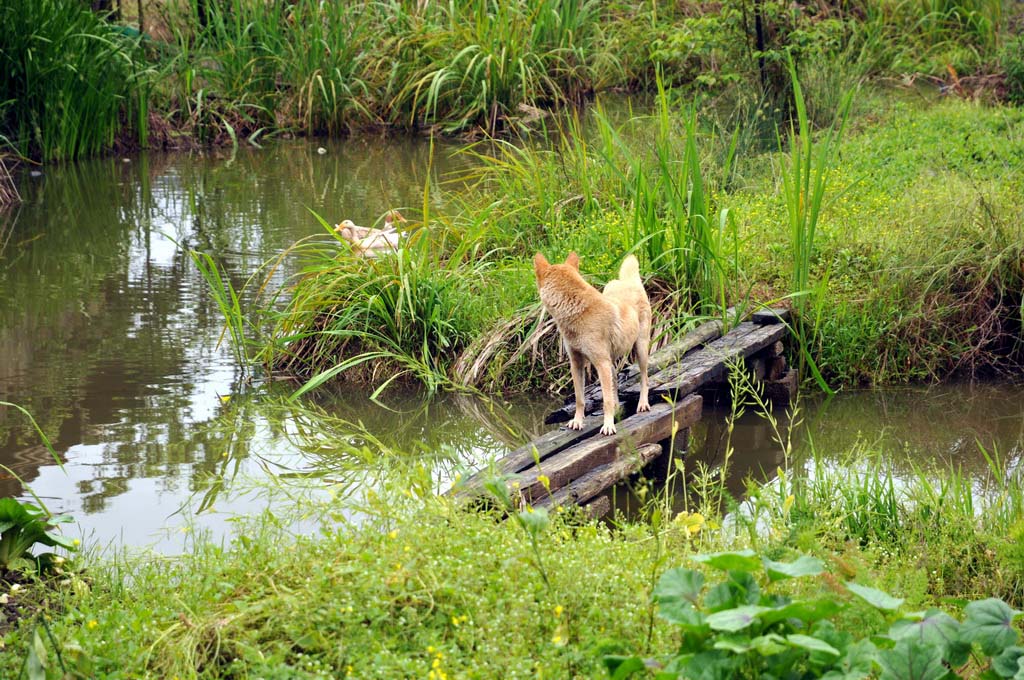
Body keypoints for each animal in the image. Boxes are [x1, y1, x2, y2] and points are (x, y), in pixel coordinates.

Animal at [532, 250, 651, 436]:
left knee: (645, 378)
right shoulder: (576, 363)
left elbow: (606, 400)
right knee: (615, 384)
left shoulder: (600, 363)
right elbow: (580, 399)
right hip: (611, 363)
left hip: (640, 350)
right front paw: (577, 422)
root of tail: (628, 282)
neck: (576, 310)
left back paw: (643, 404)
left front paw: (608, 426)